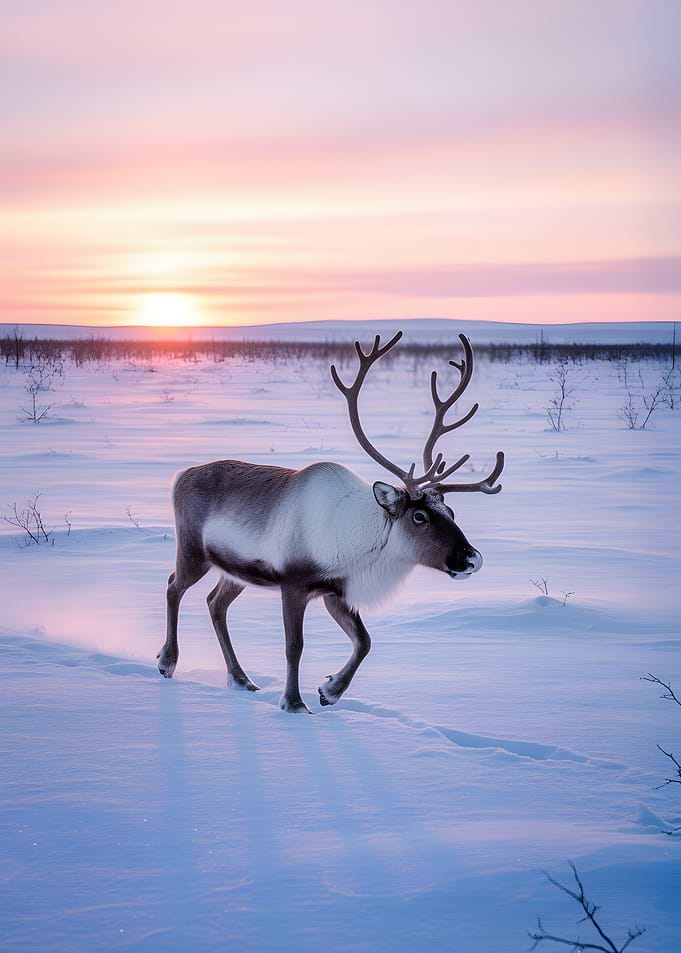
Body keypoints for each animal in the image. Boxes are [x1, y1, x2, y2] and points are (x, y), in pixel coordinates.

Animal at [158, 332, 504, 712]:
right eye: (419, 516)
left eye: (451, 512)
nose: (472, 558)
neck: (359, 541)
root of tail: (180, 476)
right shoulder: (294, 583)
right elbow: (294, 647)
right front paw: (294, 703)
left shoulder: (335, 591)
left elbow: (364, 641)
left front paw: (330, 690)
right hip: (193, 551)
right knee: (174, 586)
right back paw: (167, 662)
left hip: (236, 571)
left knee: (215, 603)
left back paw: (241, 679)